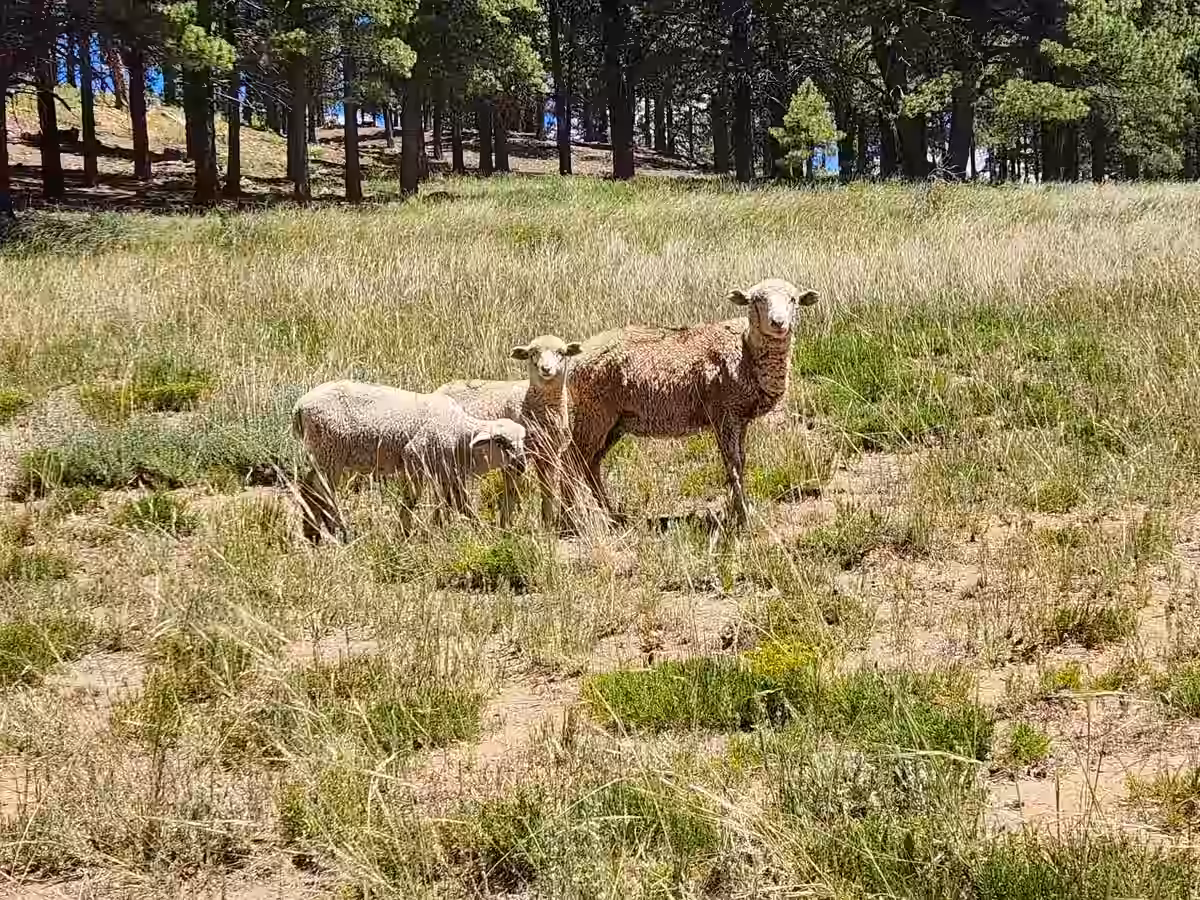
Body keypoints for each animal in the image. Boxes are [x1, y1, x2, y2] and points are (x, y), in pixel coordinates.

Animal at [290, 380, 528, 542]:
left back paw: (313, 534)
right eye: (500, 441)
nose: (521, 465)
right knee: (323, 493)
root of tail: (299, 407)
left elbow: (459, 504)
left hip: (319, 453)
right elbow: (412, 500)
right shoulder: (415, 456)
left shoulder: (446, 472)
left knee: (307, 489)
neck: (460, 435)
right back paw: (341, 533)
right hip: (331, 452)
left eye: (522, 440)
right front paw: (405, 534)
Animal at [435, 334, 582, 529]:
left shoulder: (550, 453)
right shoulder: (514, 454)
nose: (546, 369)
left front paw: (547, 525)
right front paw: (506, 526)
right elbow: (511, 492)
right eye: (532, 353)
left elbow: (548, 490)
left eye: (561, 352)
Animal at [563, 278, 819, 527]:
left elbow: (741, 461)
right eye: (756, 300)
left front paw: (740, 510)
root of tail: (574, 359)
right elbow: (733, 464)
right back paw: (572, 519)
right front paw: (743, 517)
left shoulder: (740, 417)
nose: (778, 323)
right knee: (570, 461)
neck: (746, 352)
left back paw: (613, 516)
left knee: (591, 464)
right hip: (594, 411)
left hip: (614, 422)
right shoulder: (724, 414)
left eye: (793, 299)